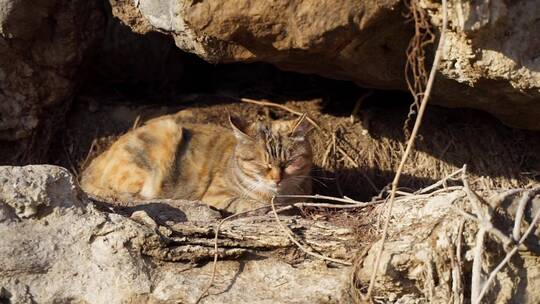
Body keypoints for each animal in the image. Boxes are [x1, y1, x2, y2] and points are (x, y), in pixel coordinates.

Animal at [82, 112, 314, 214]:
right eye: (261, 164)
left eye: (289, 162)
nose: (277, 179)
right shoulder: (216, 195)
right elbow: (248, 203)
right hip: (164, 131)